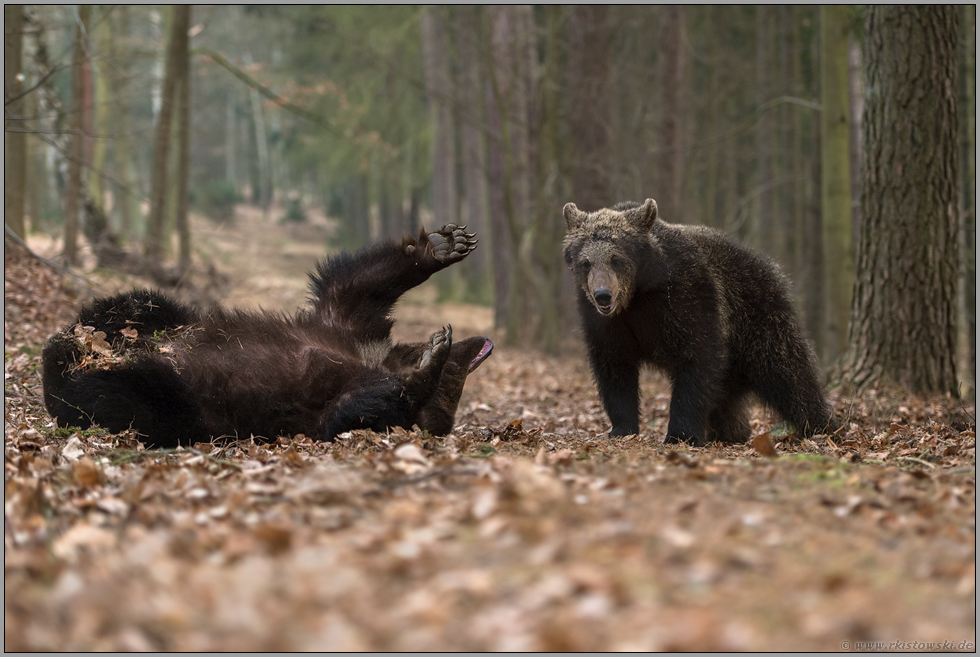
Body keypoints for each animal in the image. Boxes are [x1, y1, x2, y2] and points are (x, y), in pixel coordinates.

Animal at [42, 224, 494, 446]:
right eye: (461, 378)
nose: (484, 344)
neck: (379, 358)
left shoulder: (321, 403)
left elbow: (353, 413)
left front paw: (425, 367)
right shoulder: (348, 327)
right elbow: (355, 286)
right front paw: (442, 245)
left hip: (178, 402)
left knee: (130, 392)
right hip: (159, 322)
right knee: (131, 310)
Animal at [564, 199, 832, 446]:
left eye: (616, 258)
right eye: (586, 262)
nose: (603, 295)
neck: (637, 295)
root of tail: (769, 265)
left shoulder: (687, 298)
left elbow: (697, 359)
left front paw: (680, 434)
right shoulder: (607, 323)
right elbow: (615, 368)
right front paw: (621, 428)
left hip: (758, 317)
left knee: (788, 372)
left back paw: (821, 425)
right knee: (728, 397)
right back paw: (731, 432)